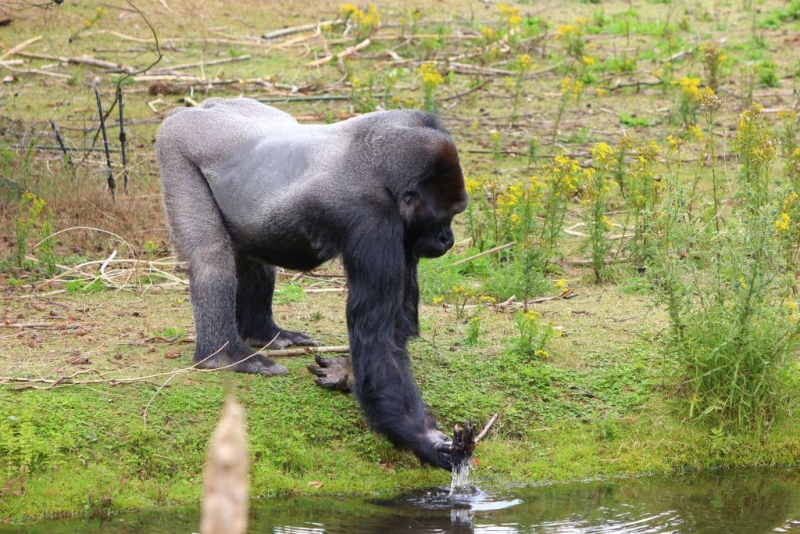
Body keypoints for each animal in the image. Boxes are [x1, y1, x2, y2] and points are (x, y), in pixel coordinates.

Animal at [156, 98, 468, 472]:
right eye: (444, 216)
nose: (448, 239)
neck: (385, 178)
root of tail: (198, 107)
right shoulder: (374, 221)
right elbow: (377, 337)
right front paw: (427, 440)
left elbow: (394, 327)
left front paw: (346, 373)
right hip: (177, 146)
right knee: (210, 253)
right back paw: (224, 355)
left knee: (252, 250)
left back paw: (265, 333)